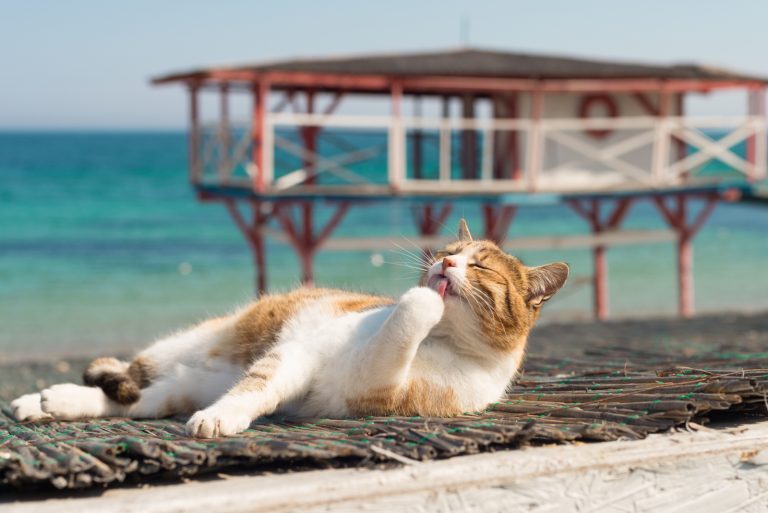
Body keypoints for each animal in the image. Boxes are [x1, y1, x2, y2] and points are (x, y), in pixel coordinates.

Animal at [10, 219, 564, 436]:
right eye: (449, 249)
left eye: (482, 265)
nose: (442, 264)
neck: (442, 340)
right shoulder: (302, 352)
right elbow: (259, 386)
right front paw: (224, 417)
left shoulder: (374, 385)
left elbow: (400, 328)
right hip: (181, 346)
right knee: (129, 375)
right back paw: (41, 399)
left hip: (177, 388)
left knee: (134, 401)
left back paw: (52, 403)